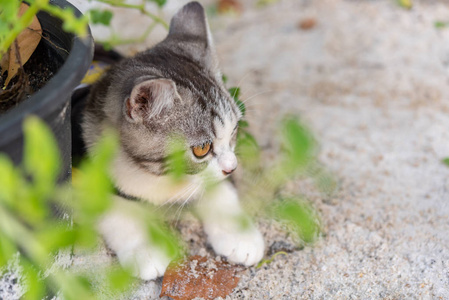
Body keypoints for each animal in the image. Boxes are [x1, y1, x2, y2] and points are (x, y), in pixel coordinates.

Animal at [81, 1, 262, 280]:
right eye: (202, 149)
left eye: (234, 130)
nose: (232, 168)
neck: (160, 177)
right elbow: (115, 209)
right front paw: (144, 250)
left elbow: (218, 189)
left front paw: (240, 235)